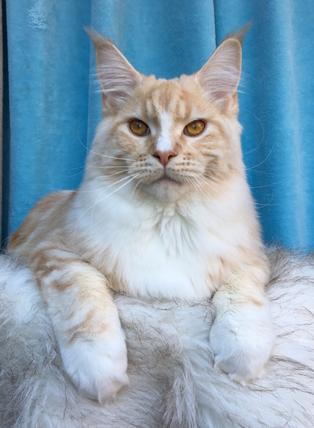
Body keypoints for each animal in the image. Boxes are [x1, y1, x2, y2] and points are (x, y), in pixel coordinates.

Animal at [8, 28, 274, 402]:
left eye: (195, 128)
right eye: (137, 127)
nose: (164, 154)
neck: (168, 221)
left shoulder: (250, 257)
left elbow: (243, 297)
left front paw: (243, 356)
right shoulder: (55, 251)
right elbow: (85, 300)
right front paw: (100, 369)